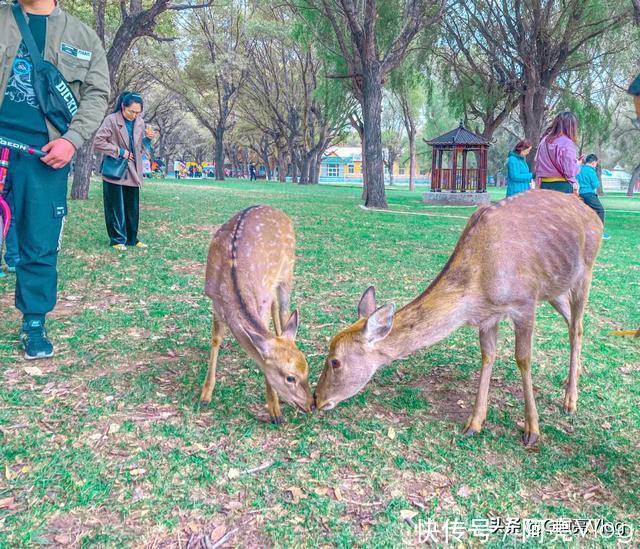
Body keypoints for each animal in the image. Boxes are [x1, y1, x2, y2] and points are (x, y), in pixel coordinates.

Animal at [199, 203, 312, 422]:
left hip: (288, 272)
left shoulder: (262, 300)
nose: (311, 404)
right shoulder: (214, 300)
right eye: (290, 377)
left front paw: (275, 411)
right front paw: (205, 395)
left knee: (284, 310)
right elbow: (216, 339)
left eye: (308, 369)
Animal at [316, 192, 604, 446]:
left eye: (335, 361)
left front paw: (532, 430)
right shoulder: (489, 317)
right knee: (572, 322)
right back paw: (573, 377)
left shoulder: (525, 303)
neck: (479, 290)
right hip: (555, 288)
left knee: (577, 326)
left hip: (585, 273)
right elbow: (487, 356)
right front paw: (474, 423)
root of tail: (594, 216)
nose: (317, 399)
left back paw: (570, 400)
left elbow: (523, 359)